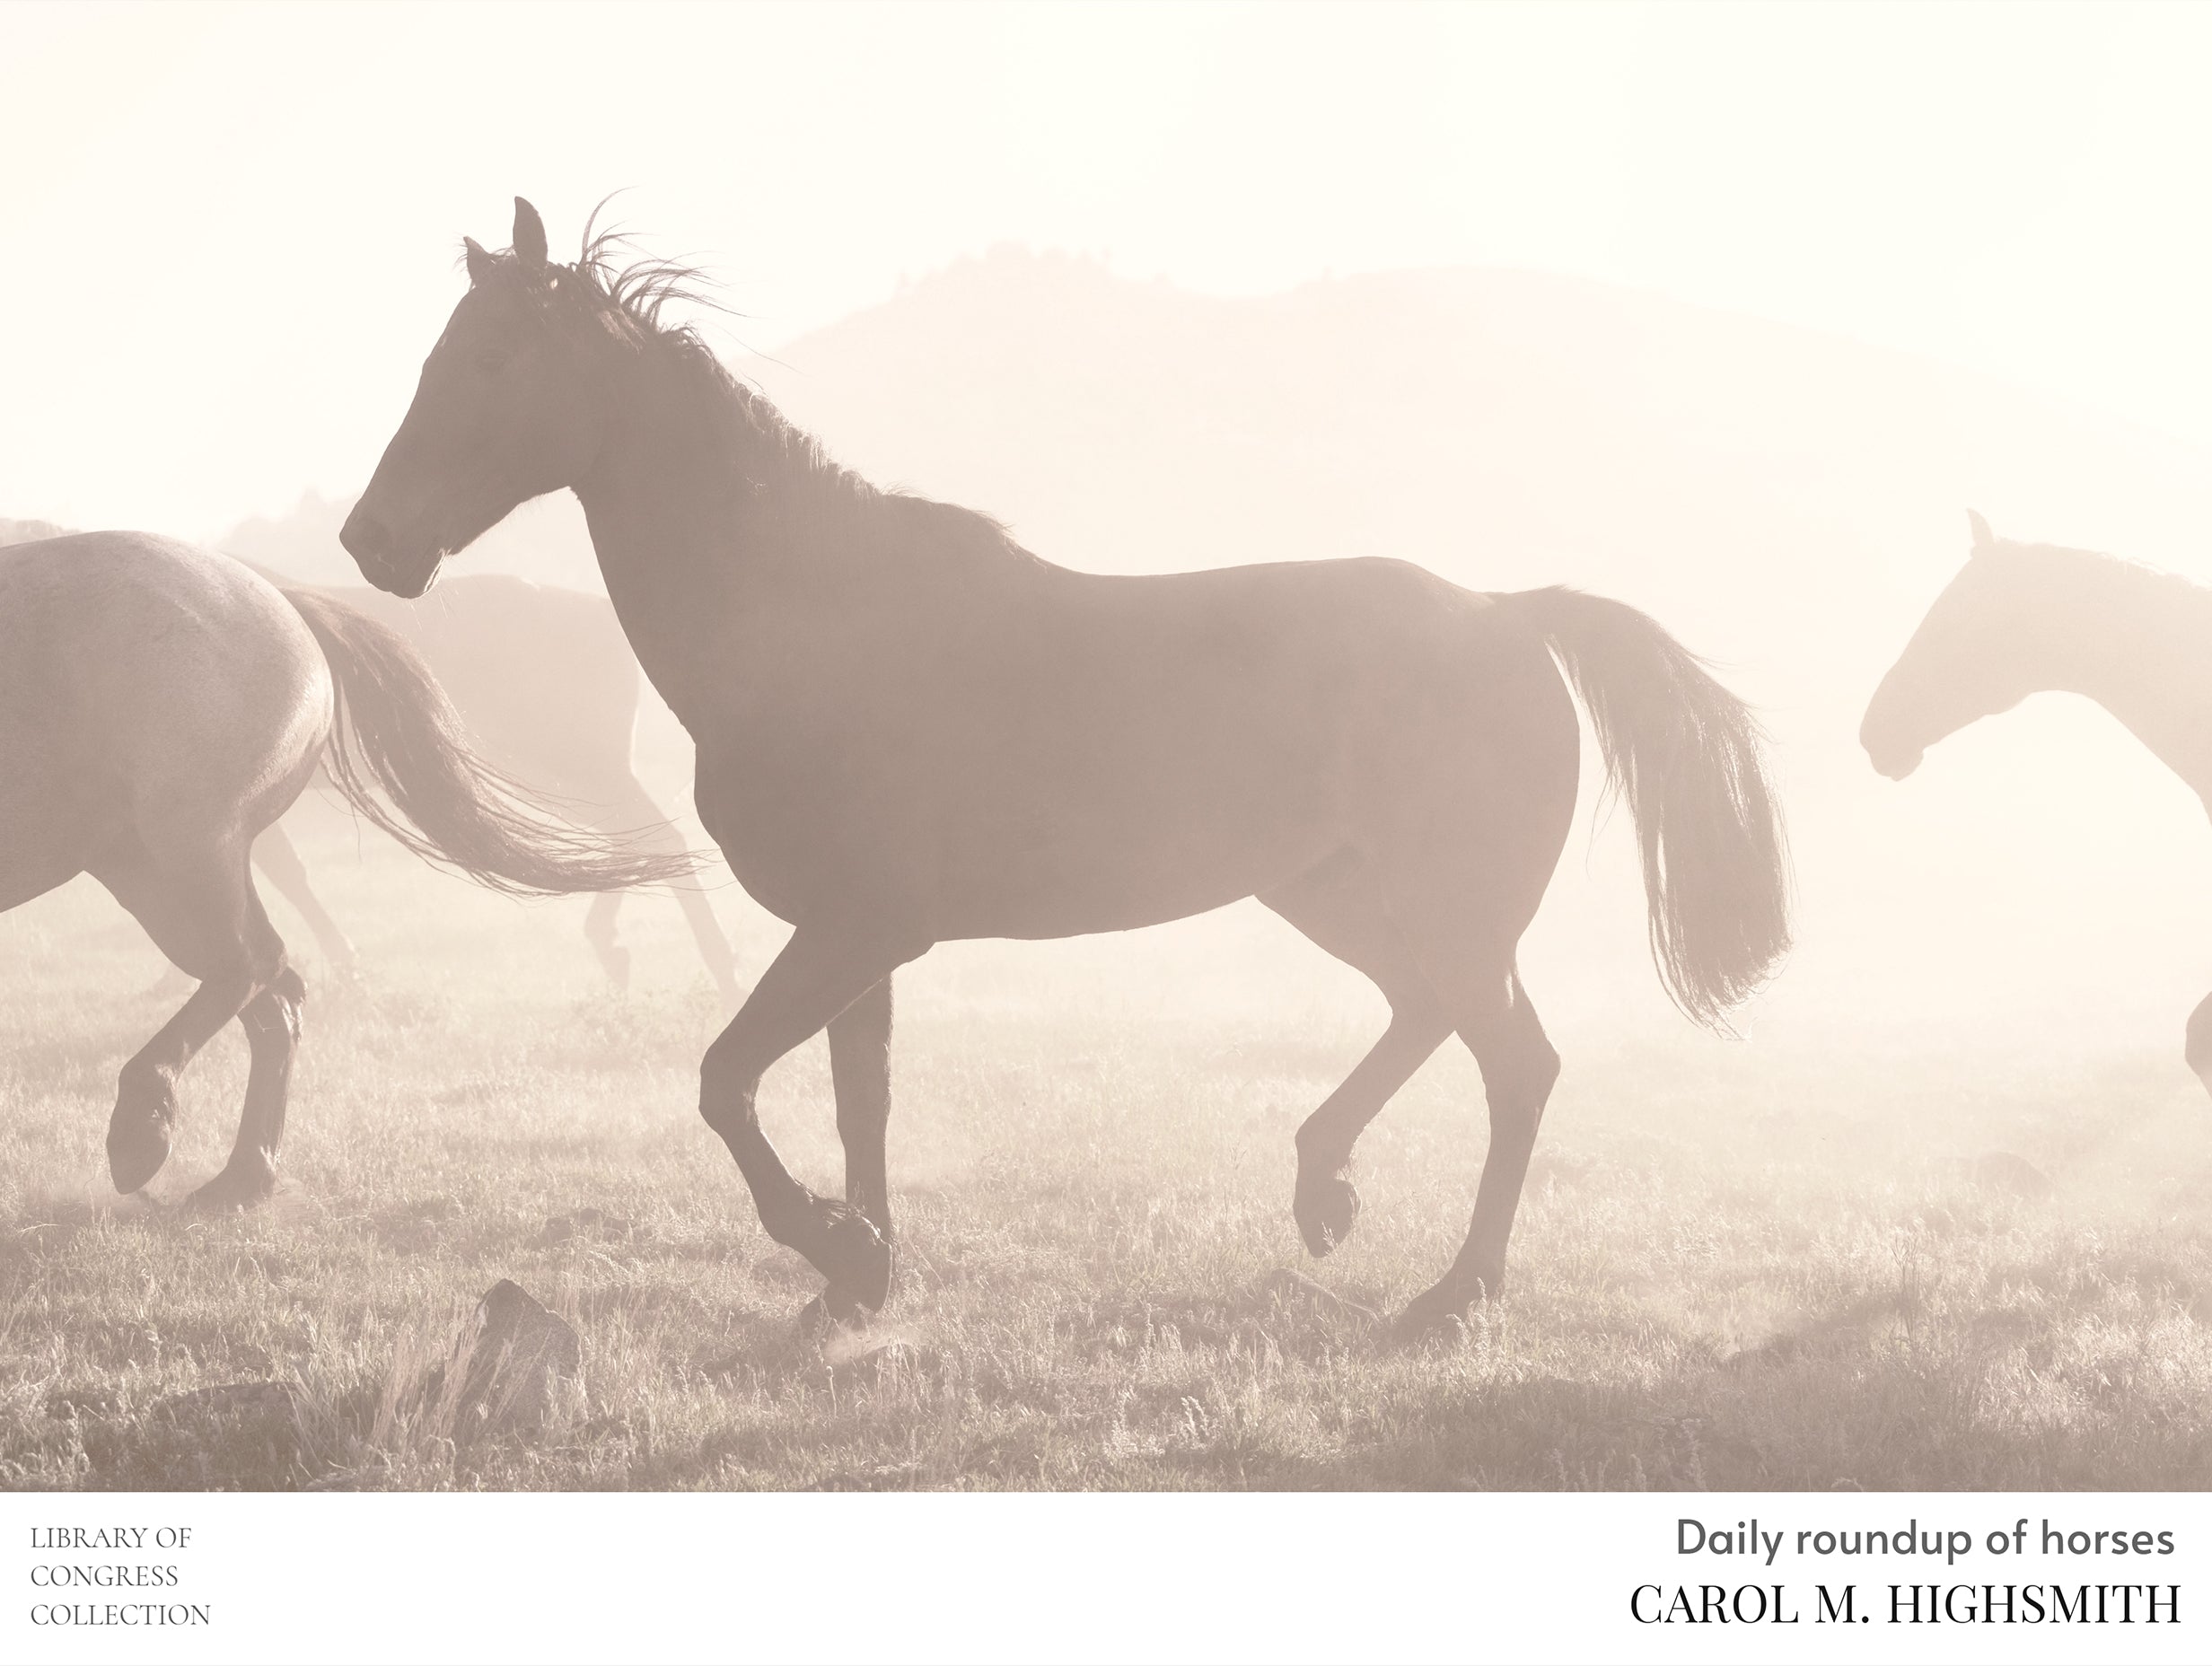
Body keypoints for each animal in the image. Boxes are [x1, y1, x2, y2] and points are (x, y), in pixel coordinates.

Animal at [247, 573, 742, 1008]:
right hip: (558, 776)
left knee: (656, 837)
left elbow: (286, 873)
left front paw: (343, 967)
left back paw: (721, 974)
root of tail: (600, 611)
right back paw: (619, 948)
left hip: (575, 767)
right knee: (634, 839)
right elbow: (286, 872)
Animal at [338, 199, 1791, 1336]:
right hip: (1337, 897)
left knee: (1516, 1064)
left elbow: (725, 1083)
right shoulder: (856, 940)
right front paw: (857, 1278)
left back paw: (1448, 1289)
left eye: (489, 359)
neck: (812, 623)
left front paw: (839, 1247)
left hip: (1437, 912)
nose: (371, 540)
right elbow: (857, 1104)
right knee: (1433, 1021)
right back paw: (1326, 1191)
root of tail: (1508, 612)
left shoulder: (853, 929)